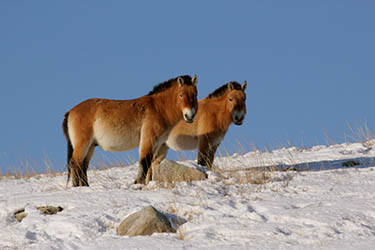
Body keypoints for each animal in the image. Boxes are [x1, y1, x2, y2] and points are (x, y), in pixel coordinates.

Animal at [62, 75, 198, 187]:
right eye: (181, 95)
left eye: (195, 94)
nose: (190, 116)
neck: (159, 108)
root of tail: (70, 111)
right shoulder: (148, 140)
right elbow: (144, 162)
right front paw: (138, 184)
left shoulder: (157, 145)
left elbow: (150, 165)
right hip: (83, 144)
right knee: (75, 163)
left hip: (90, 146)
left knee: (82, 166)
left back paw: (85, 186)